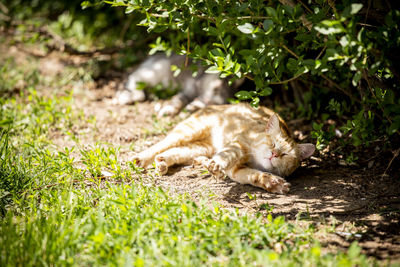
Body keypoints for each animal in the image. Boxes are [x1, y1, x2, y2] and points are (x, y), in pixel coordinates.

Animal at [134, 103, 316, 194]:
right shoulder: (239, 144)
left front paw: (273, 183)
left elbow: (255, 176)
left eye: (285, 154)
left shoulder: (237, 171)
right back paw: (140, 159)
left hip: (201, 148)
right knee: (161, 144)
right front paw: (215, 167)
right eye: (272, 143)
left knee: (175, 152)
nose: (274, 154)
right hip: (188, 131)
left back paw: (162, 162)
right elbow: (227, 156)